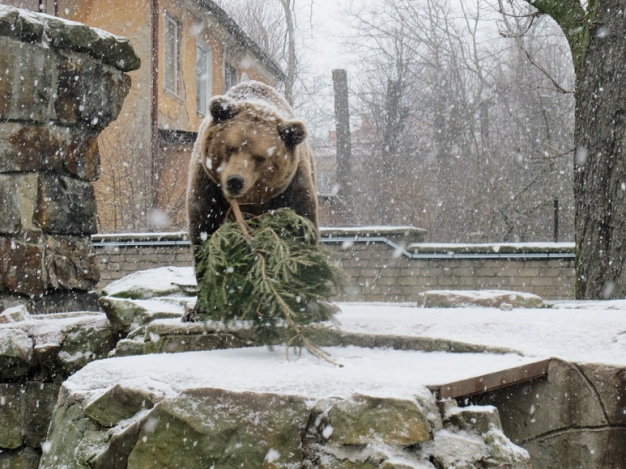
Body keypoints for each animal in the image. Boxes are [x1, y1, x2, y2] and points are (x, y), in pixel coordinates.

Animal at [183, 81, 314, 322]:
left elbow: (300, 231)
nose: (235, 180)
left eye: (260, 157)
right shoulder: (208, 186)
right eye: (230, 147)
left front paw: (302, 300)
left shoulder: (290, 189)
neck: (251, 199)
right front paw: (198, 309)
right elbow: (205, 234)